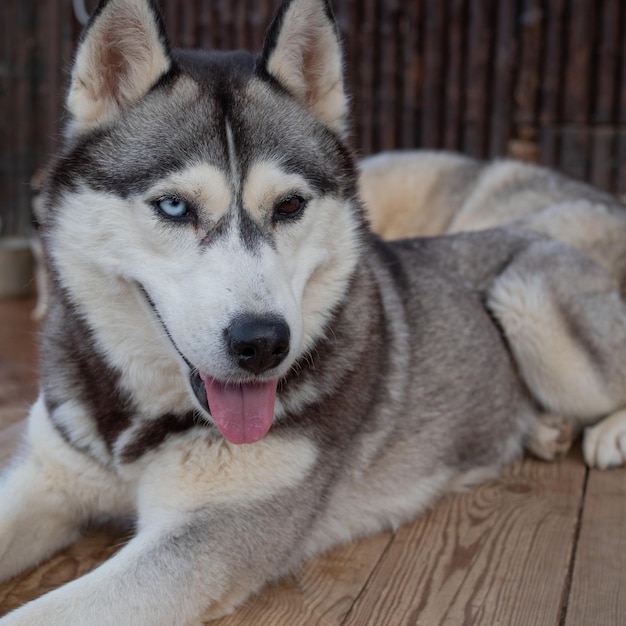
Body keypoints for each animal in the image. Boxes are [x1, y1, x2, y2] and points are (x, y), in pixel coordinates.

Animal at [1, 0, 624, 620]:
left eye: (290, 205)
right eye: (175, 207)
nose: (262, 344)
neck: (141, 420)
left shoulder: (207, 535)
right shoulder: (48, 478)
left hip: (530, 303)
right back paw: (546, 427)